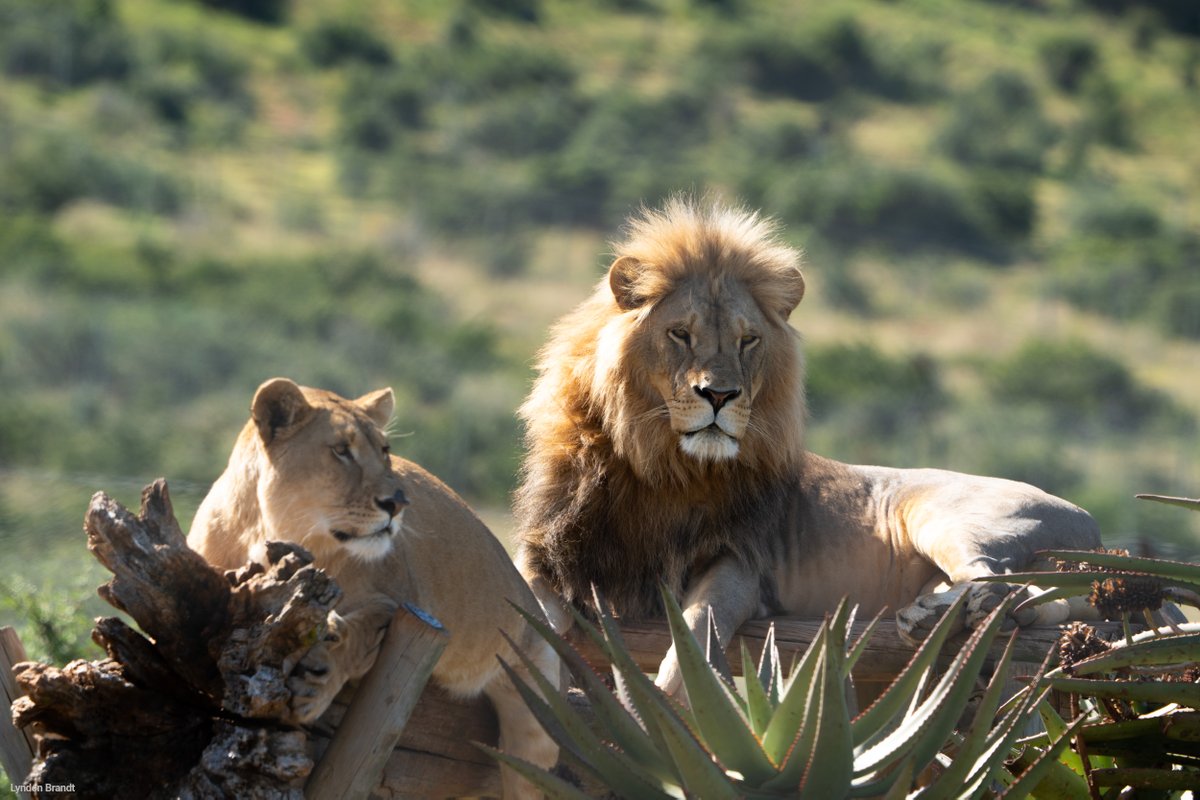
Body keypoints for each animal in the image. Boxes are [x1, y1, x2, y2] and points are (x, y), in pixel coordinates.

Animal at [189, 379, 559, 796]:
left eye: (385, 451)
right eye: (341, 450)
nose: (397, 503)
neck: (268, 536)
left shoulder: (406, 599)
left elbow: (363, 630)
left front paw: (317, 680)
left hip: (536, 716)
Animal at [511, 195, 1099, 695]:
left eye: (748, 341)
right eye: (681, 334)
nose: (720, 395)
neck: (658, 464)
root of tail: (1090, 523)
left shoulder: (740, 563)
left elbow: (695, 638)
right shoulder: (548, 551)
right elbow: (525, 620)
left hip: (950, 516)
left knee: (1008, 586)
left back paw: (933, 614)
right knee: (1039, 600)